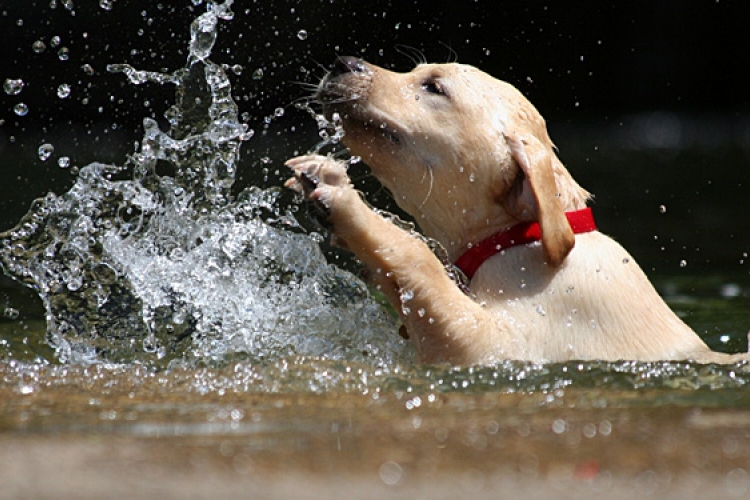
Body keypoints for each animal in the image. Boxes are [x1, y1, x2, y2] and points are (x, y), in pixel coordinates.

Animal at [286, 56, 748, 366]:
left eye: (434, 87)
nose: (342, 63)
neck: (522, 237)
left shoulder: (499, 348)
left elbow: (421, 263)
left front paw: (340, 196)